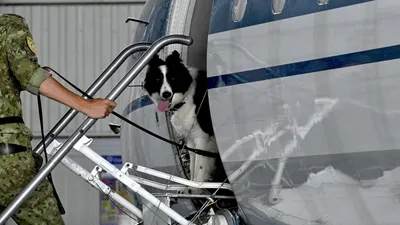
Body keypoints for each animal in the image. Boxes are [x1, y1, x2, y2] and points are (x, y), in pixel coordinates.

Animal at [143, 51, 220, 193]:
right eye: (157, 79)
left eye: (173, 78)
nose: (166, 94)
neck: (185, 97)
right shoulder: (191, 139)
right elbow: (193, 165)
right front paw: (191, 187)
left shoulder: (202, 137)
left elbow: (199, 166)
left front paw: (195, 189)